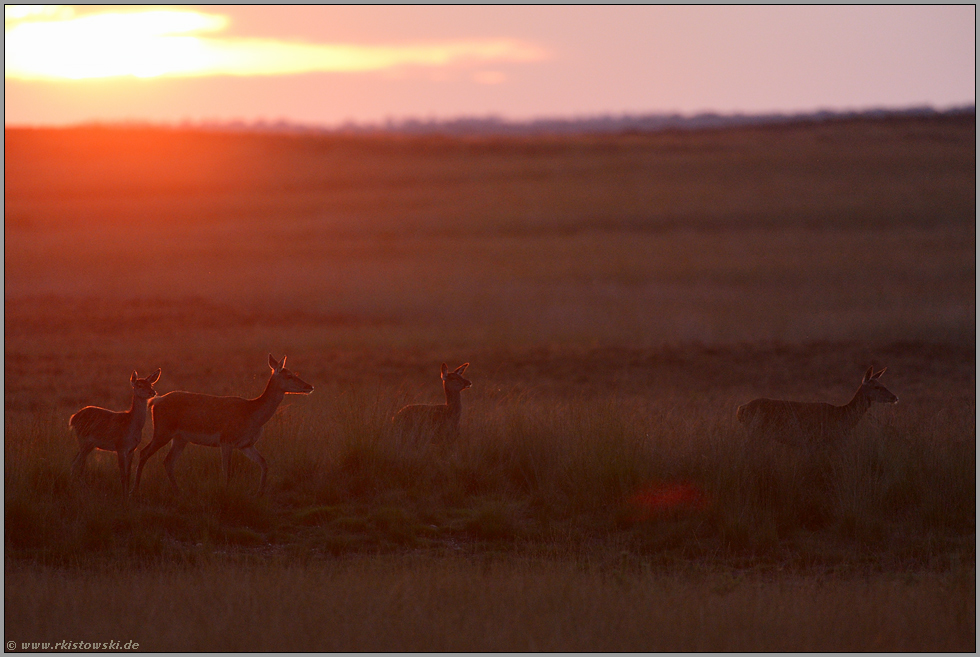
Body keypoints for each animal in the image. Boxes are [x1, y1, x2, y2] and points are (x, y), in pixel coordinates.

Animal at [131, 356, 314, 494]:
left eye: (293, 372)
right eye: (288, 375)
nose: (309, 386)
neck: (253, 414)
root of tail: (155, 401)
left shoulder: (246, 444)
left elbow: (264, 463)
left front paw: (260, 493)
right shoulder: (226, 440)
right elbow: (227, 471)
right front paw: (226, 491)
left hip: (180, 438)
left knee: (168, 461)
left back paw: (178, 492)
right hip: (163, 431)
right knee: (144, 452)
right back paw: (136, 489)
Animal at [740, 364, 900, 446]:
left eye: (883, 384)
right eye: (877, 387)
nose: (895, 397)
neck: (843, 417)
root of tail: (741, 409)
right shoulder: (824, 439)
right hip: (756, 431)